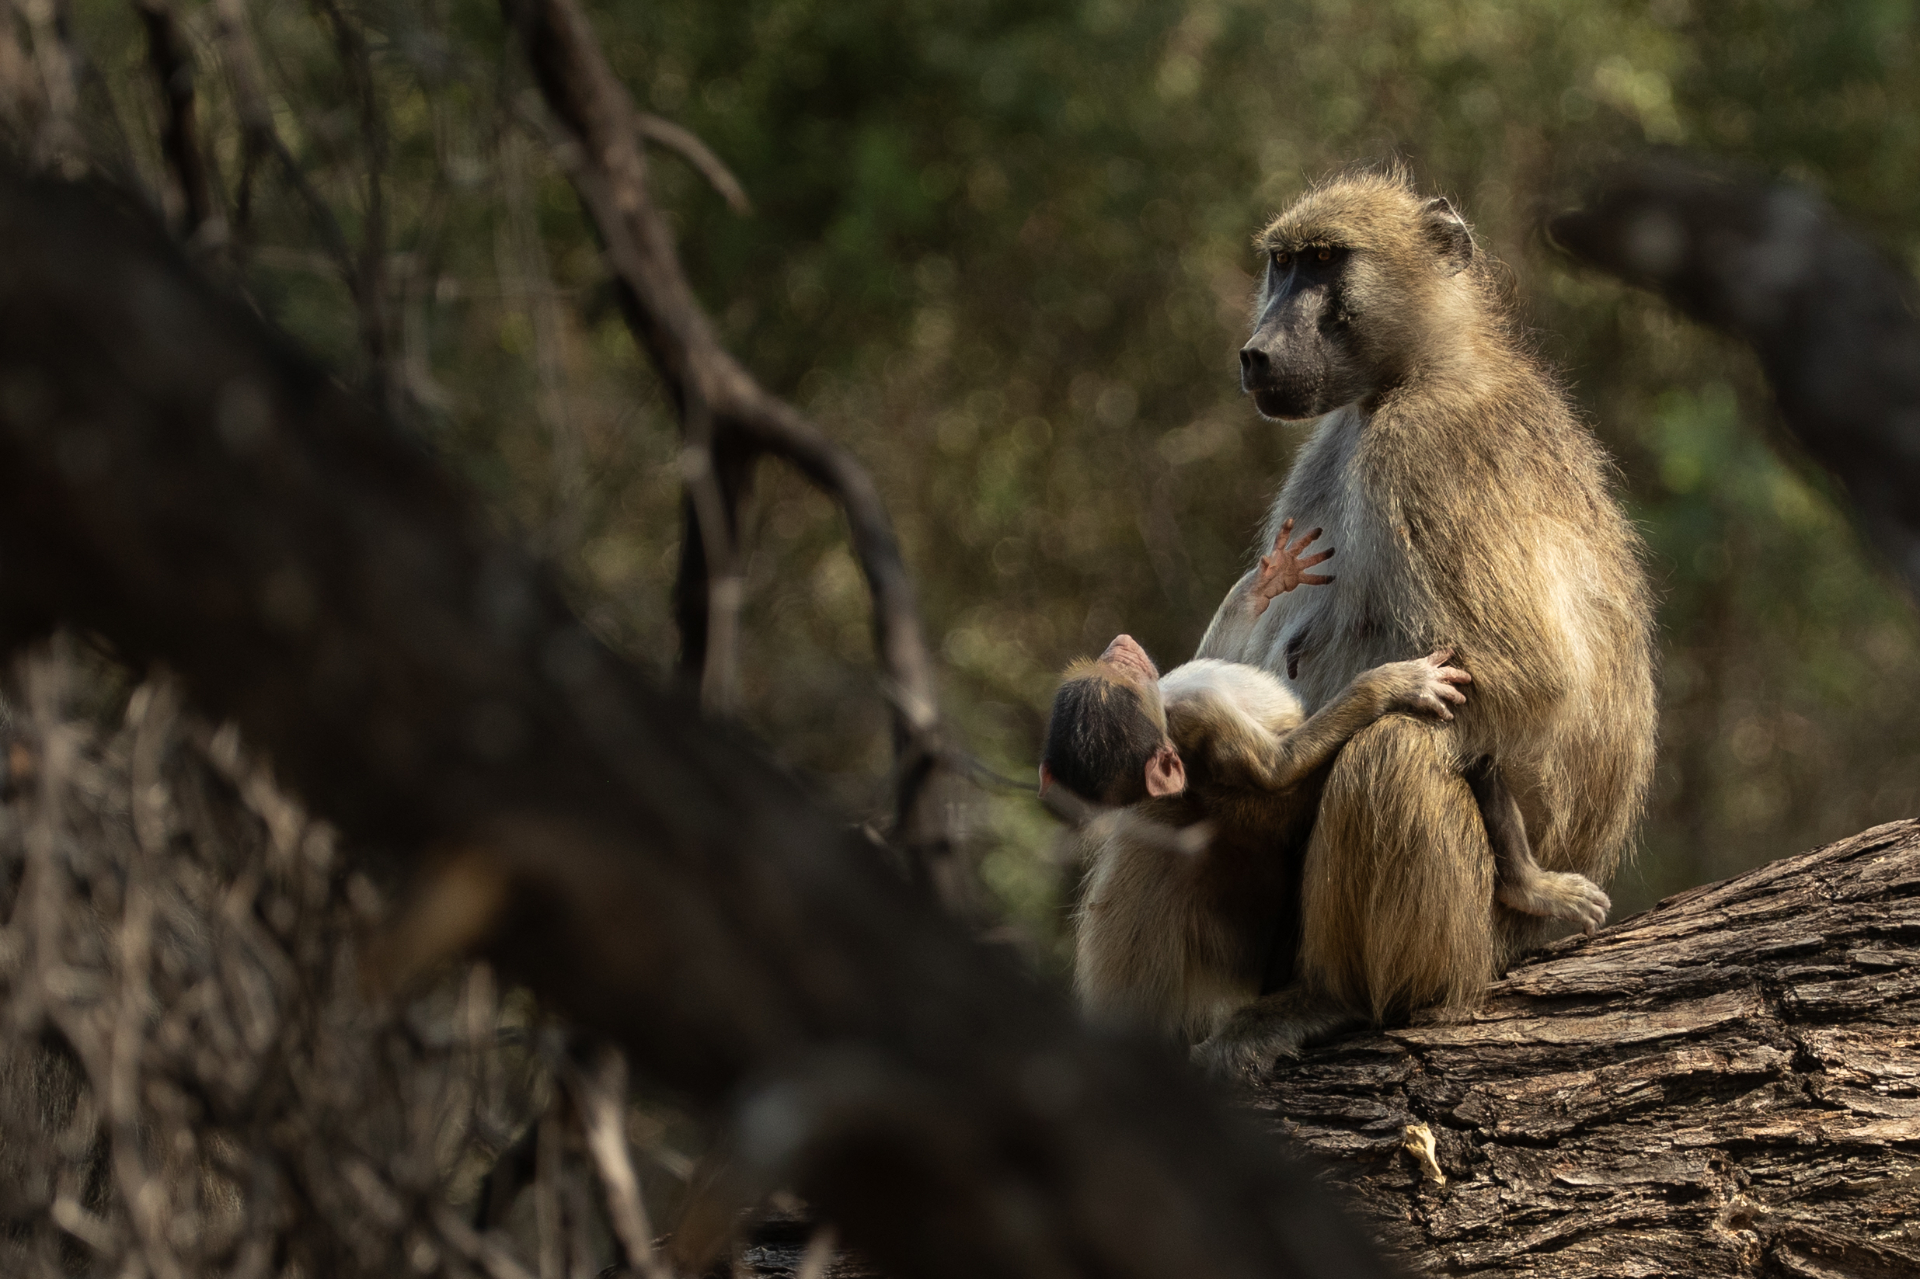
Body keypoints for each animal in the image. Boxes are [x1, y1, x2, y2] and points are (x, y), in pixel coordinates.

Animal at [1179, 166, 1656, 1076]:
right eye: (1282, 263)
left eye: (1326, 262)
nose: (1257, 354)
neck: (1418, 370)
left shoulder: (1427, 452)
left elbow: (1527, 680)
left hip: (1481, 940)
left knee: (1396, 749)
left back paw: (1341, 998)